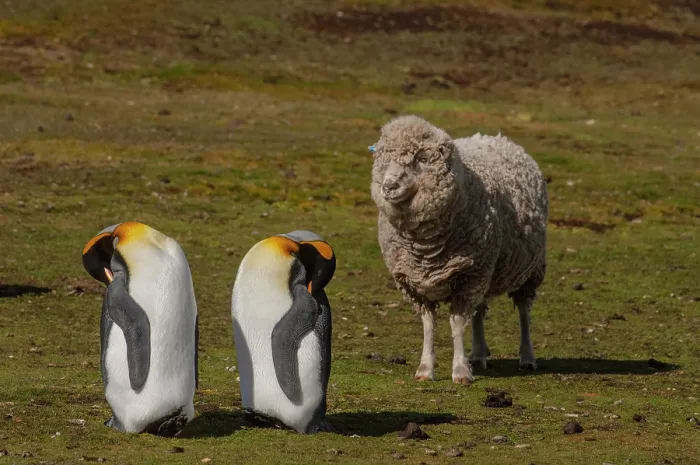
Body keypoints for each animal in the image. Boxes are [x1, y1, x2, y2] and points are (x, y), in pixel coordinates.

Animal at [370, 115, 548, 385]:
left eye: (421, 160)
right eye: (383, 159)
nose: (388, 186)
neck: (424, 248)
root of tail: (496, 137)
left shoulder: (467, 278)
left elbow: (456, 324)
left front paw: (461, 370)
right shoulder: (416, 284)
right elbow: (428, 325)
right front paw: (426, 368)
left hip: (529, 270)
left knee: (524, 312)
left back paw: (527, 357)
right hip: (487, 272)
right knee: (479, 311)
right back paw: (478, 353)